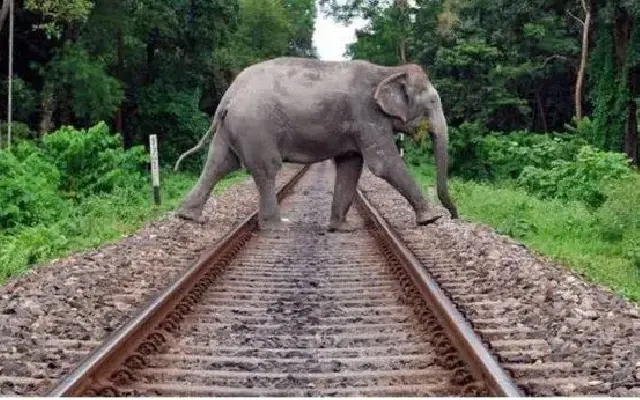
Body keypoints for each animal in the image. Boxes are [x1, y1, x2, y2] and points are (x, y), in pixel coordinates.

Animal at [173, 57, 458, 231]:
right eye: (433, 102)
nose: (455, 215)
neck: (388, 70)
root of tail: (229, 94)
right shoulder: (366, 115)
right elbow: (383, 165)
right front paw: (431, 219)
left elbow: (350, 165)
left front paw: (341, 228)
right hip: (255, 126)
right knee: (266, 169)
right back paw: (277, 227)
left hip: (232, 127)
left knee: (218, 163)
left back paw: (186, 216)